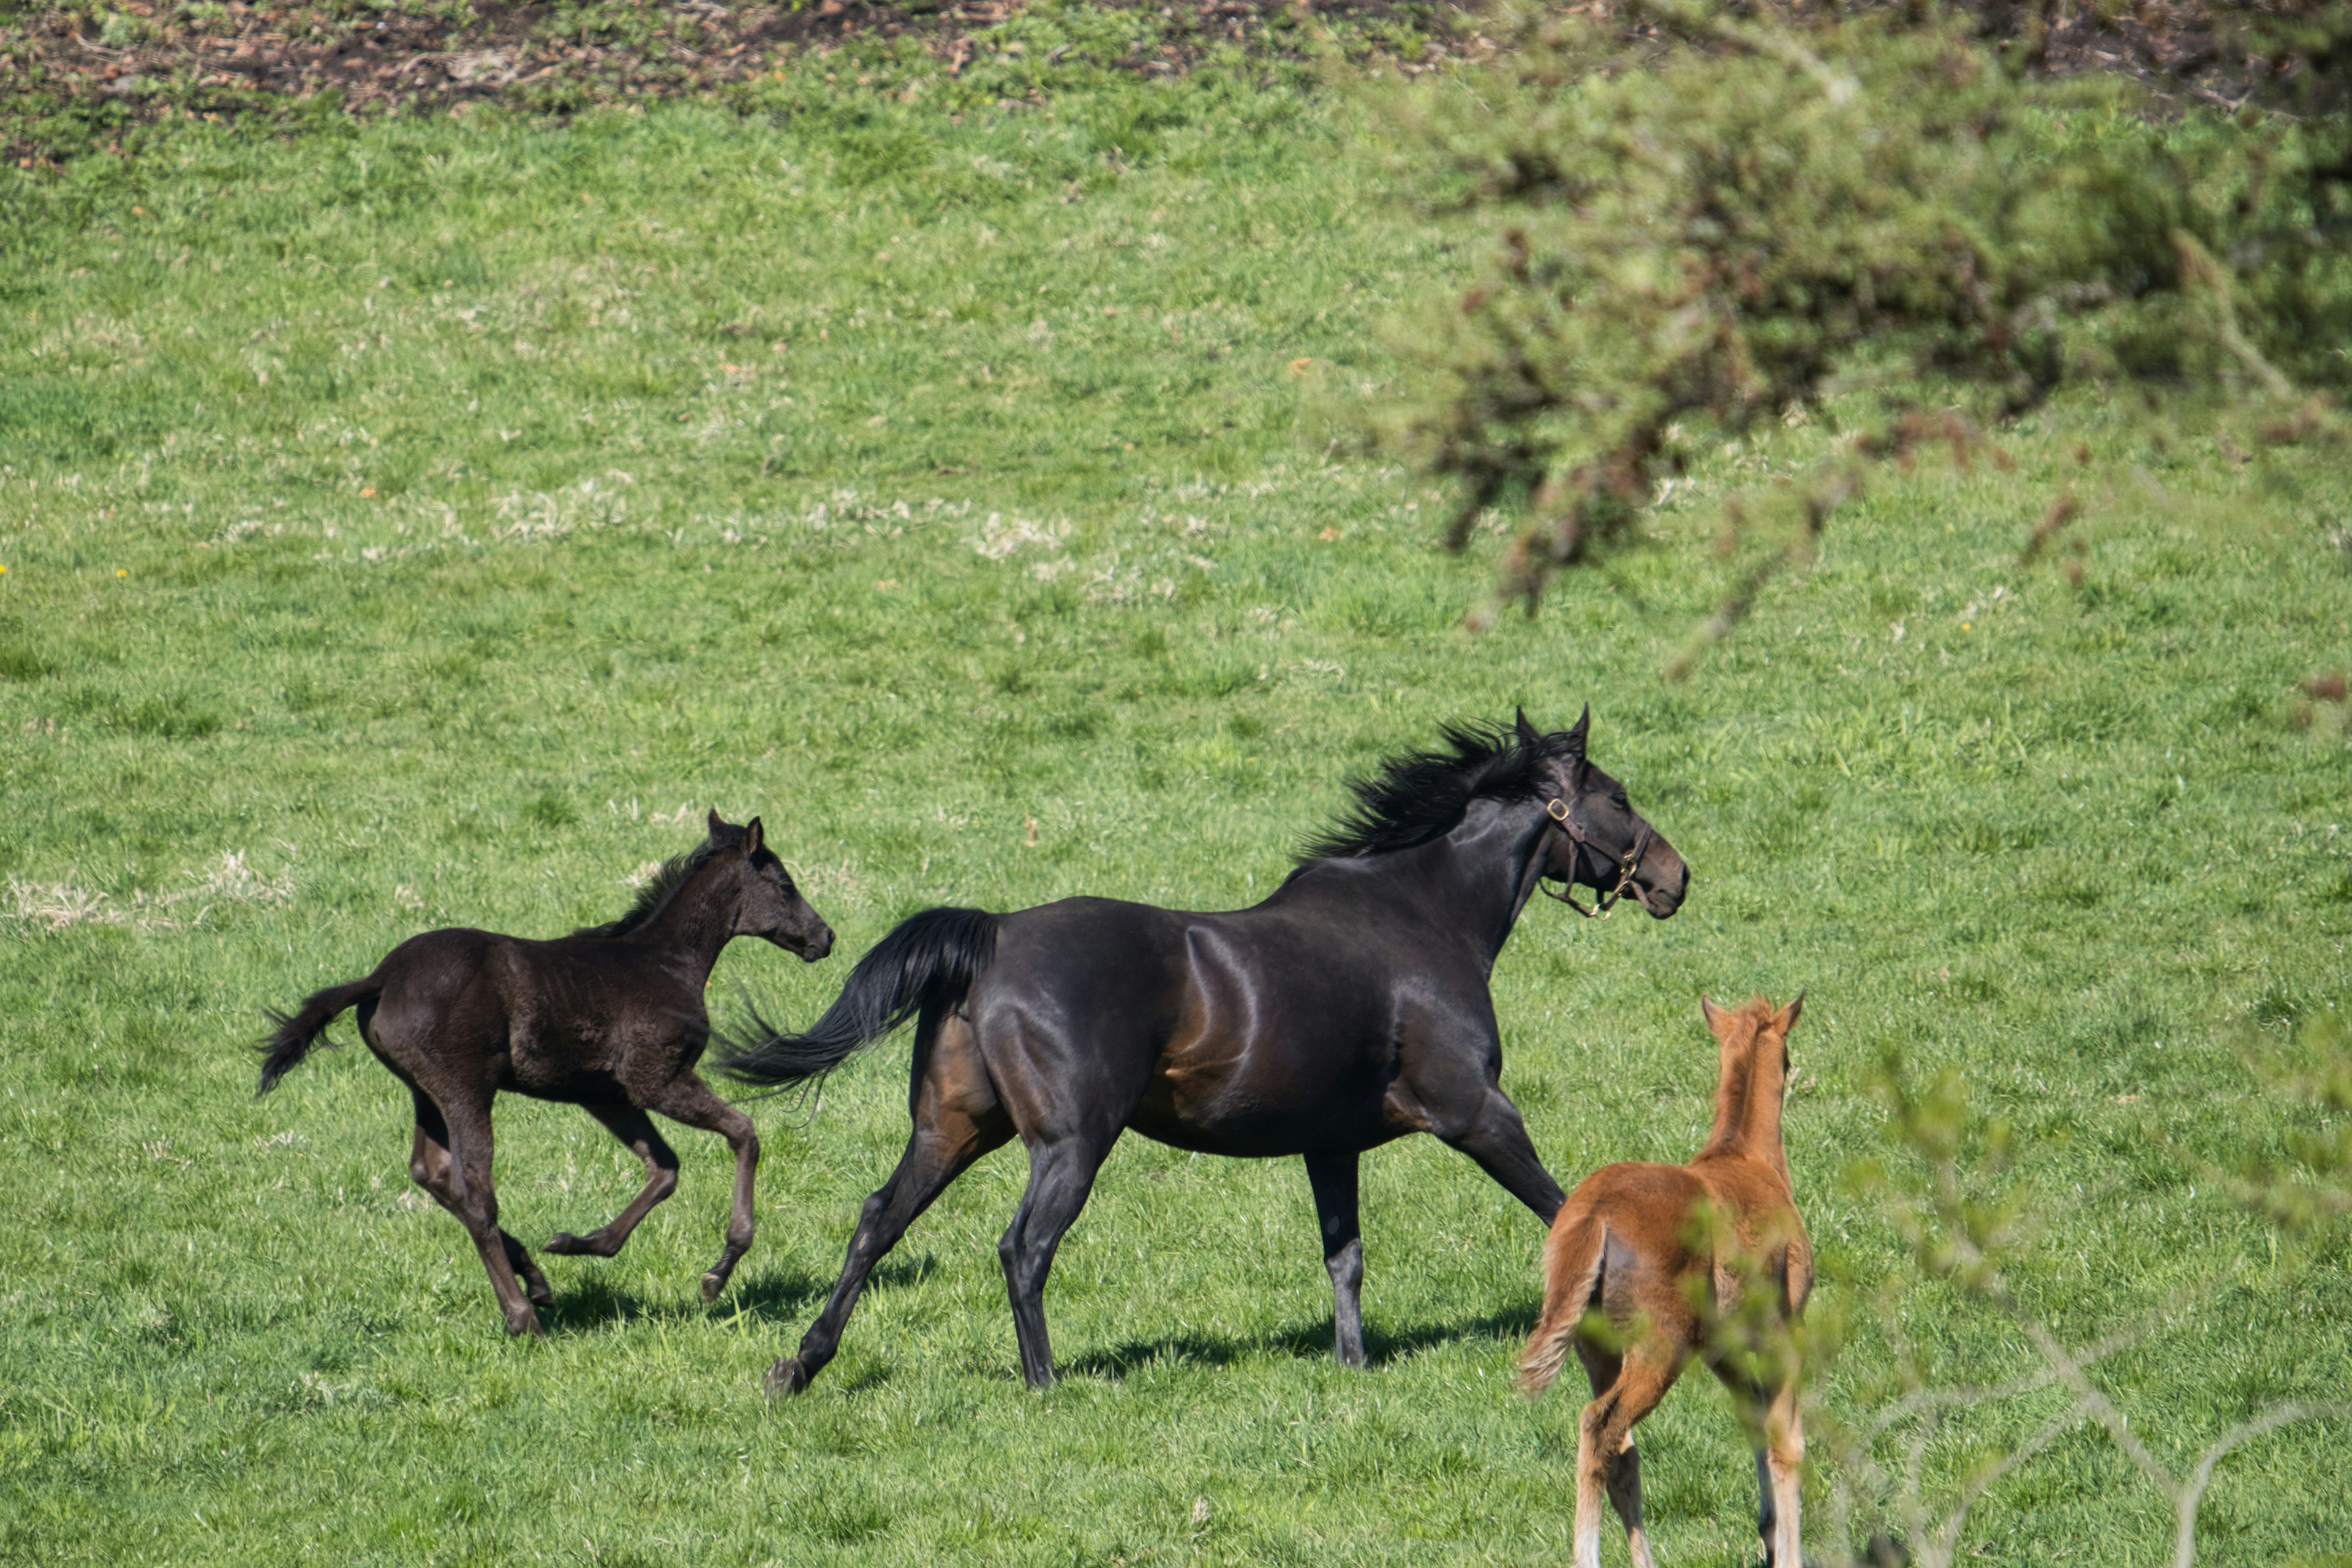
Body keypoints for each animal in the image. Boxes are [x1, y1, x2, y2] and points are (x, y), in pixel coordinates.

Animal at [258, 809, 837, 1335]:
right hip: (466, 1088)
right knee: (475, 1191)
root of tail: (382, 977)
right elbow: (744, 1133)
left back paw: (536, 1280)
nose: (825, 937)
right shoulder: (656, 1078)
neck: (667, 962)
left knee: (433, 1174)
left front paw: (581, 1243)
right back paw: (523, 1316)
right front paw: (720, 1270)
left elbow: (665, 1168)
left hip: (424, 1092)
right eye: (785, 885)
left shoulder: (604, 1093)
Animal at [724, 710, 1684, 1382]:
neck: (1423, 917)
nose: (1676, 878)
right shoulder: (1475, 1112)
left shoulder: (1331, 1145)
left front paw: (1354, 1365)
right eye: (1619, 797)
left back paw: (800, 1365)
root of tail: (992, 935)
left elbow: (1345, 1256)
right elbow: (1565, 1211)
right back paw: (1044, 1382)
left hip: (953, 1129)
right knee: (1023, 1247)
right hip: (1069, 1144)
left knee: (878, 1219)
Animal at [1514, 1001, 1806, 1561]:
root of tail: (1595, 1213)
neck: (1745, 1157)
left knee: (1623, 1454)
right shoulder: (1783, 1328)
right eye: (1787, 1054)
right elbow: (1787, 1443)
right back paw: (1586, 1557)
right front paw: (1787, 1552)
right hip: (1661, 1348)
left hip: (1602, 1354)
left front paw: (1768, 1535)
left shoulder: (1720, 1348)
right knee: (1599, 1426)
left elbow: (1755, 1417)